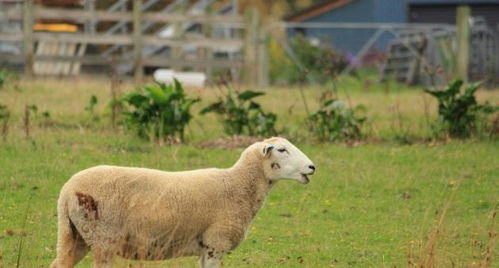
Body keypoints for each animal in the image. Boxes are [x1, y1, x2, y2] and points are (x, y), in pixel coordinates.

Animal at [50, 137, 316, 266]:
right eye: (281, 150)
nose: (312, 167)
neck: (237, 186)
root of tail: (66, 191)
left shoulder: (205, 247)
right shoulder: (215, 243)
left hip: (76, 236)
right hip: (102, 238)